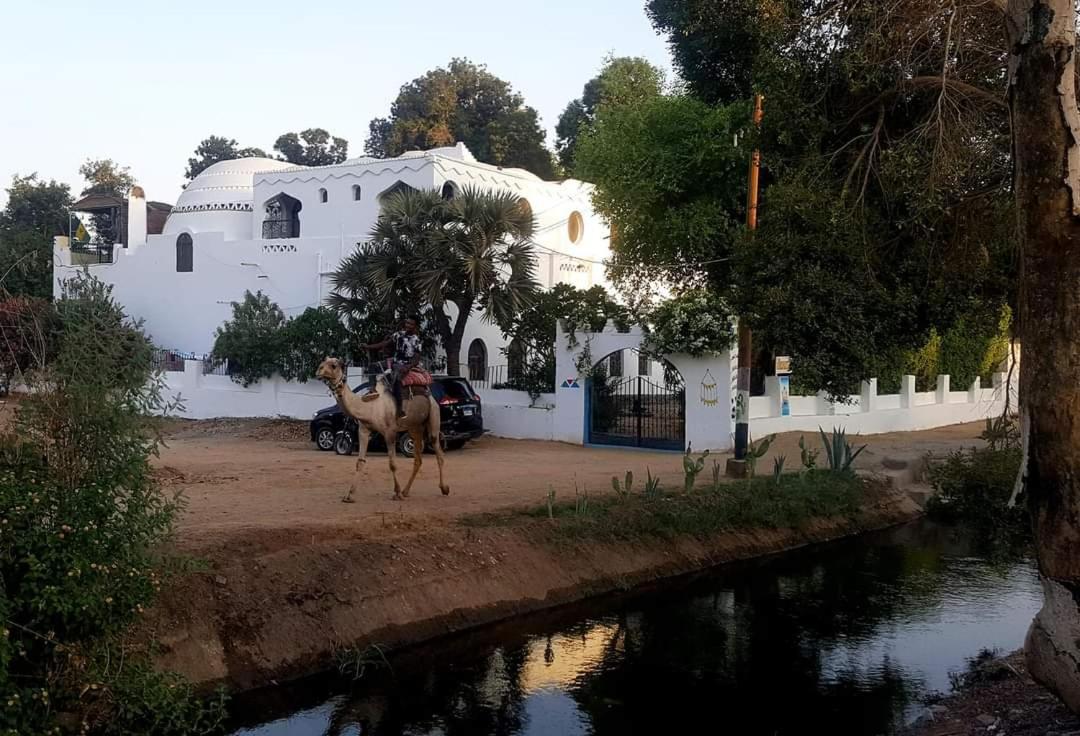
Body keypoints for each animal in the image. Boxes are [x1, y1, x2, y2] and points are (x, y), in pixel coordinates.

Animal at [315, 356, 449, 499]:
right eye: (323, 362)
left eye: (334, 365)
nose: (319, 370)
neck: (369, 406)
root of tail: (429, 393)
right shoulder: (363, 430)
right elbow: (360, 462)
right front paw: (349, 496)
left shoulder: (390, 432)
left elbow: (392, 464)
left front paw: (397, 493)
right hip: (415, 427)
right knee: (418, 459)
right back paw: (406, 491)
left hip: (434, 414)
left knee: (438, 451)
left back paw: (444, 489)